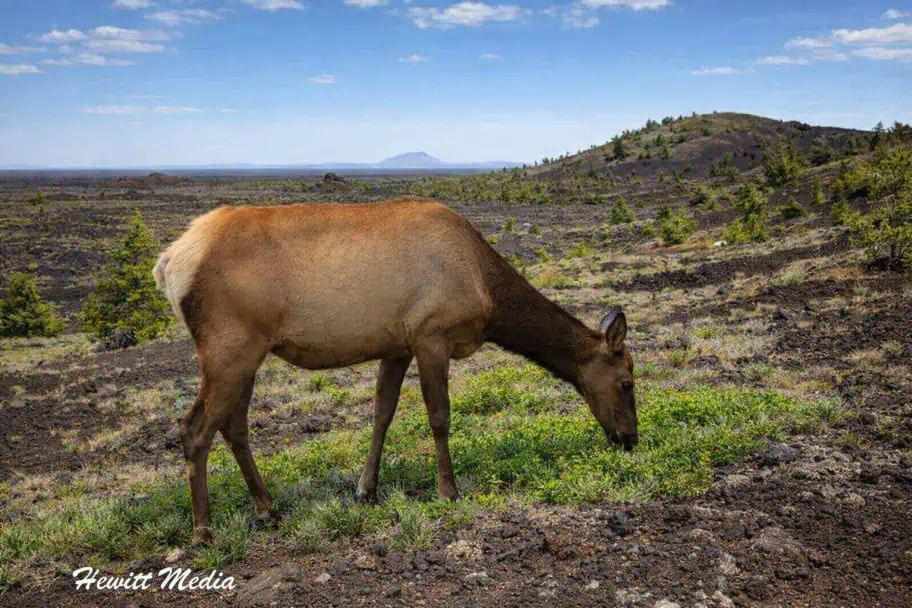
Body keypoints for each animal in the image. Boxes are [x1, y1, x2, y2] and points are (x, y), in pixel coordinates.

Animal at [153, 197, 637, 543]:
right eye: (627, 381)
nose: (630, 439)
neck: (488, 292)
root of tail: (170, 262)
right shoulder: (430, 334)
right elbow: (439, 417)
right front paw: (449, 491)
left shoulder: (396, 346)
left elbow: (382, 414)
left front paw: (366, 489)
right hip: (228, 346)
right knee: (194, 428)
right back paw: (202, 532)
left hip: (250, 353)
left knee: (234, 427)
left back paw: (268, 509)